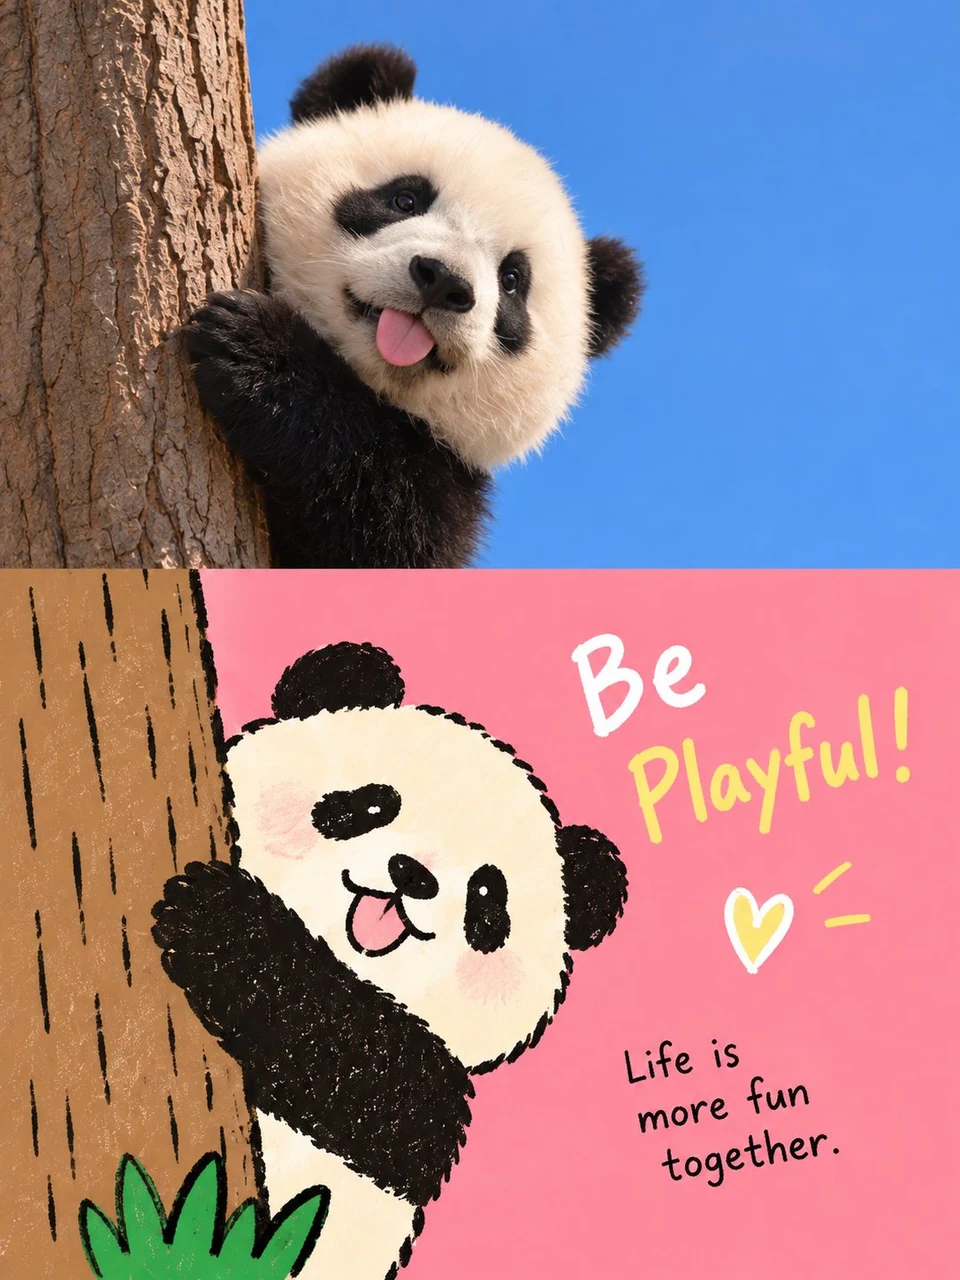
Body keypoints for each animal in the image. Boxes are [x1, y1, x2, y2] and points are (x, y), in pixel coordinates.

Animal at [152, 641, 628, 1279]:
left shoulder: (425, 1093)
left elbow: (353, 1064)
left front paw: (217, 920)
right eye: (374, 803)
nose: (411, 875)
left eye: (487, 894)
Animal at [185, 44, 643, 568]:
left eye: (512, 280)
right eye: (405, 198)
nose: (443, 281)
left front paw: (259, 355)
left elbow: (383, 514)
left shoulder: (448, 483)